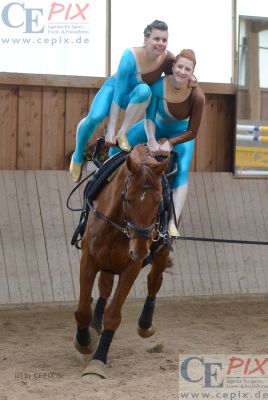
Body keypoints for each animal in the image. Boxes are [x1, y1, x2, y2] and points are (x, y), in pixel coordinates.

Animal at [74, 144, 170, 378]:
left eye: (158, 202)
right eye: (128, 198)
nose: (141, 250)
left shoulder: (131, 267)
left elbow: (113, 316)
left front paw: (98, 361)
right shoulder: (89, 259)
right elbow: (83, 310)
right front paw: (84, 342)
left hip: (161, 252)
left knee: (154, 281)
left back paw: (145, 325)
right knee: (105, 287)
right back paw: (95, 325)